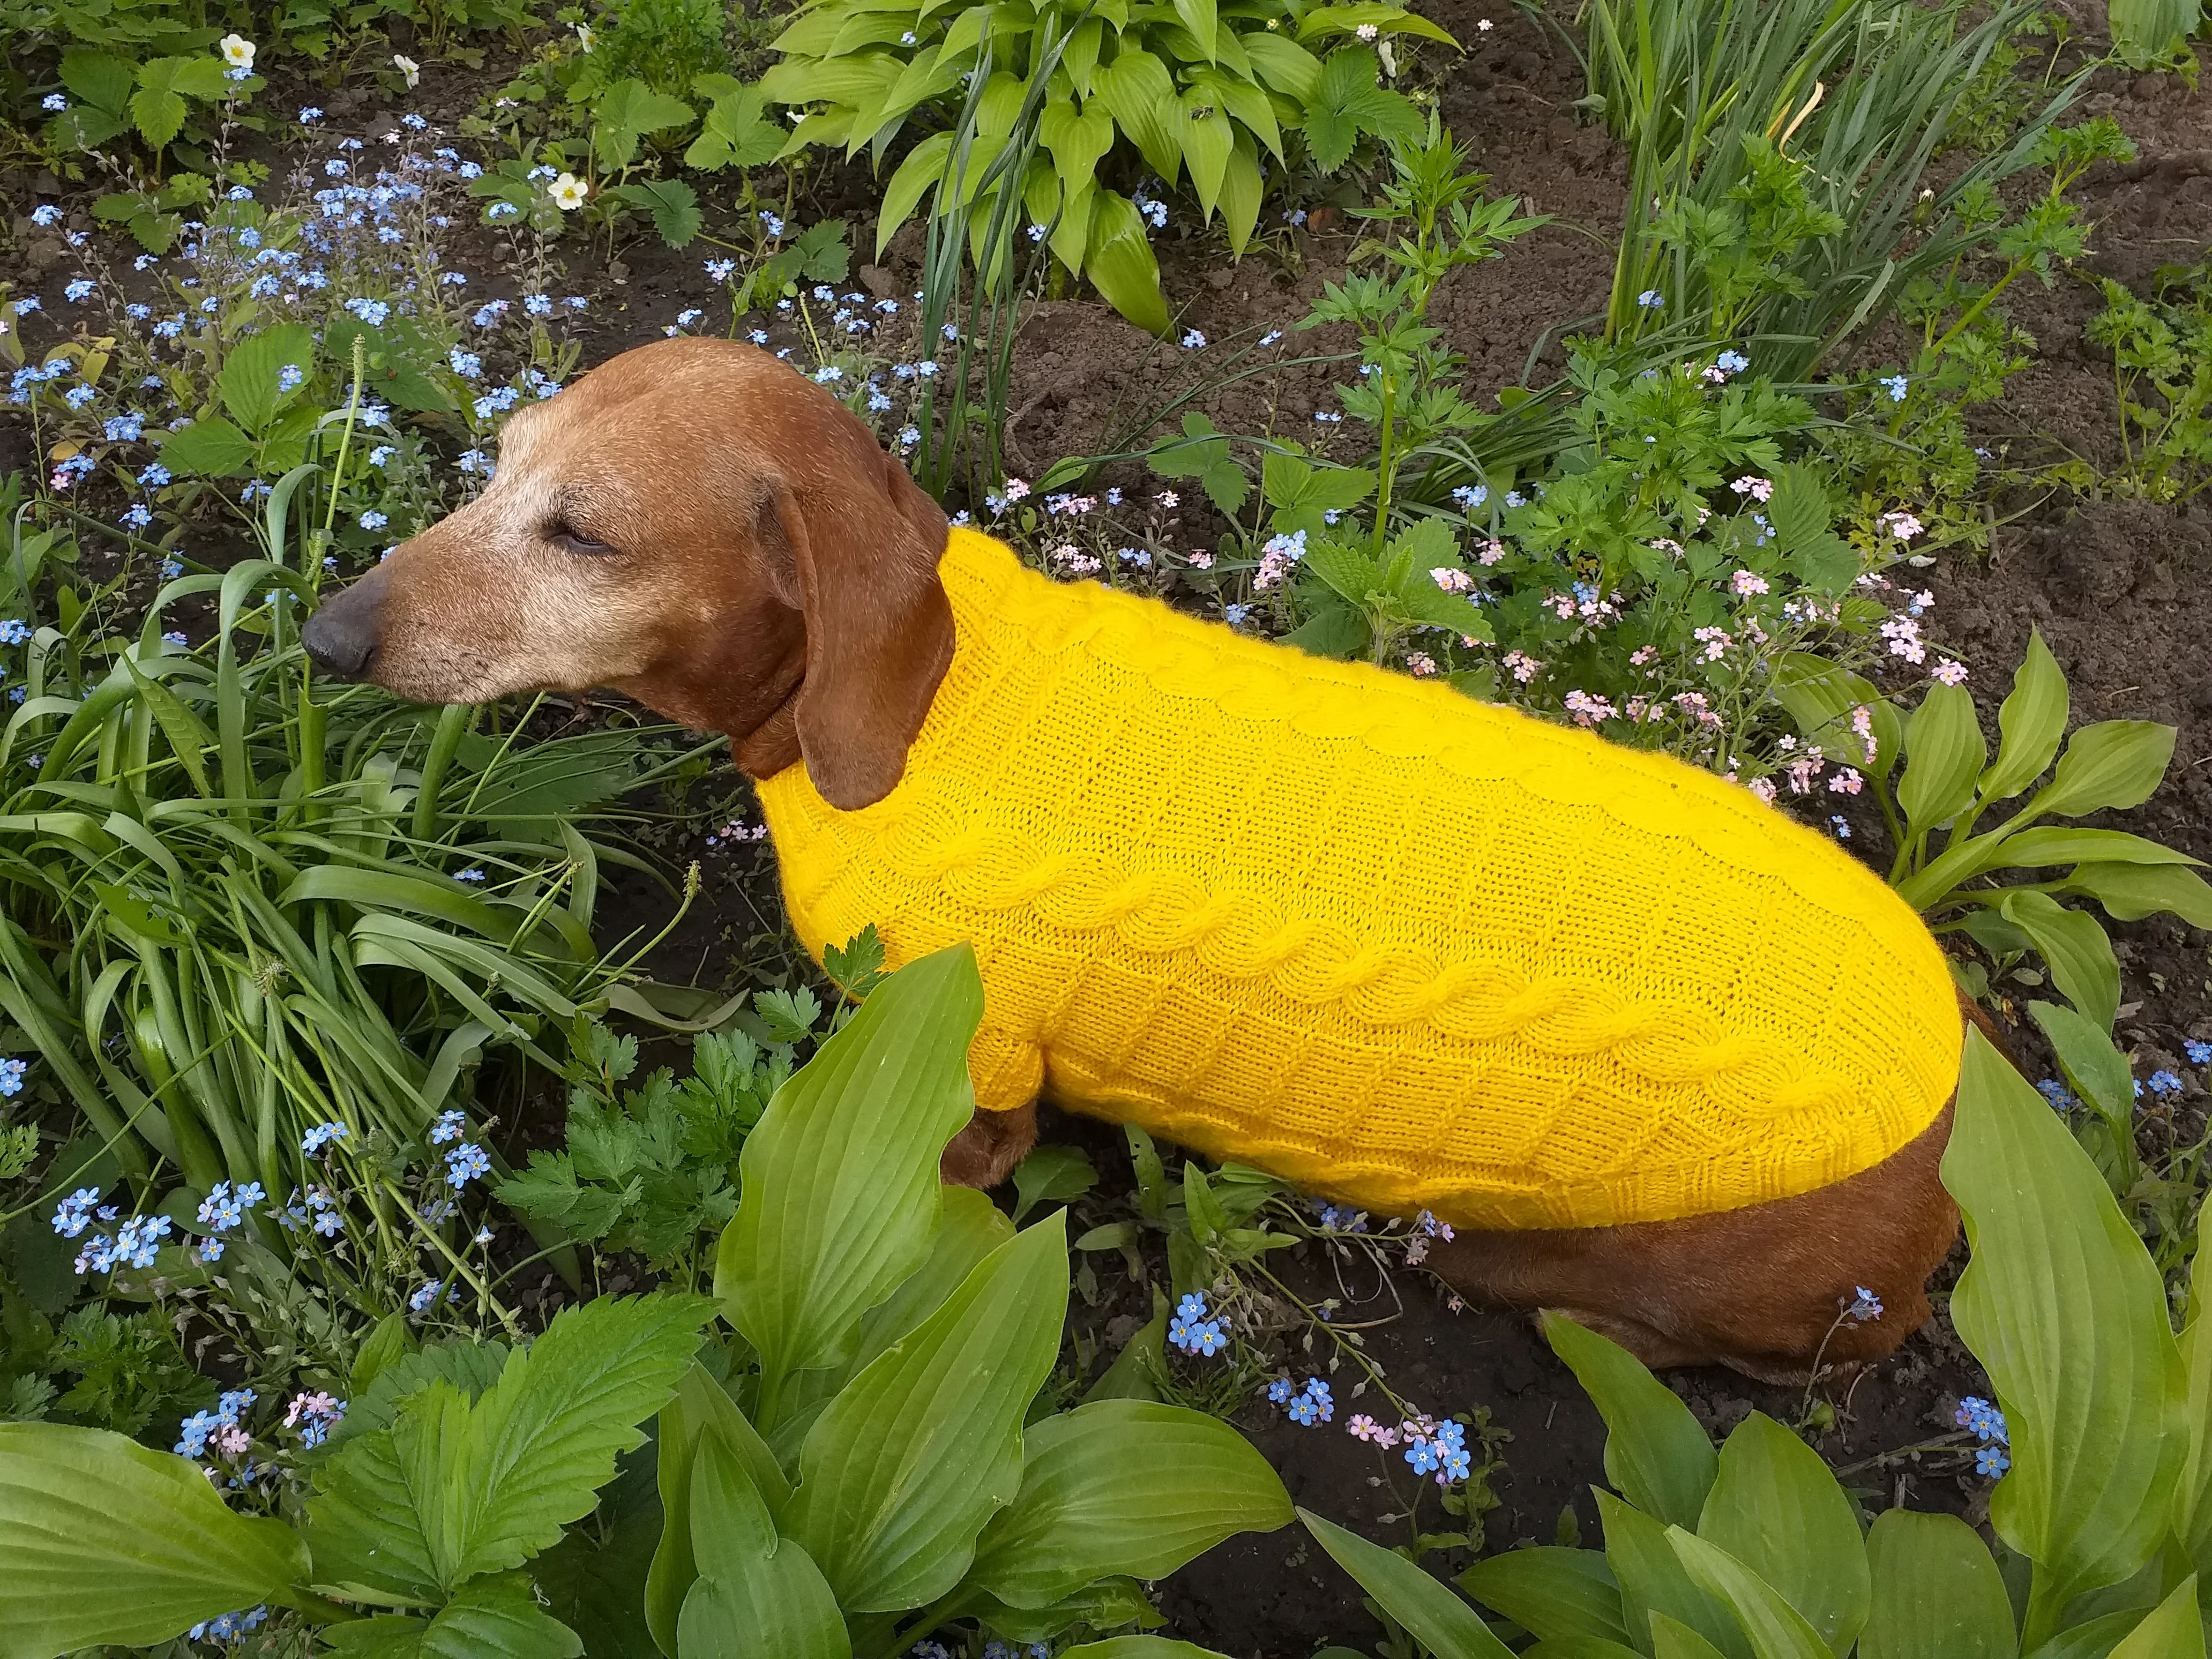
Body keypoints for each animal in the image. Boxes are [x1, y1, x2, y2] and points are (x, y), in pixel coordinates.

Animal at [298, 334, 1973, 1380]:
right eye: (497, 466)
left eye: (582, 535)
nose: (321, 636)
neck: (927, 702)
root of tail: (1946, 1151)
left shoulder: (967, 1084)